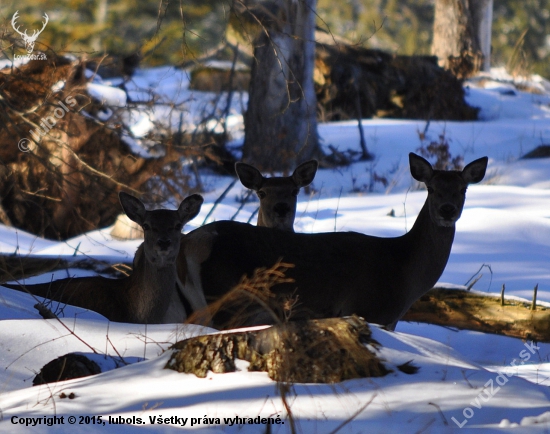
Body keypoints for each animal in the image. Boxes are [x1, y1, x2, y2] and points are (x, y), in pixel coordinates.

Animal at [183, 153, 490, 328]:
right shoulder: (369, 308)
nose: (447, 210)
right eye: (431, 188)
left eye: (463, 189)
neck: (403, 271)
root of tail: (192, 244)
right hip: (227, 301)